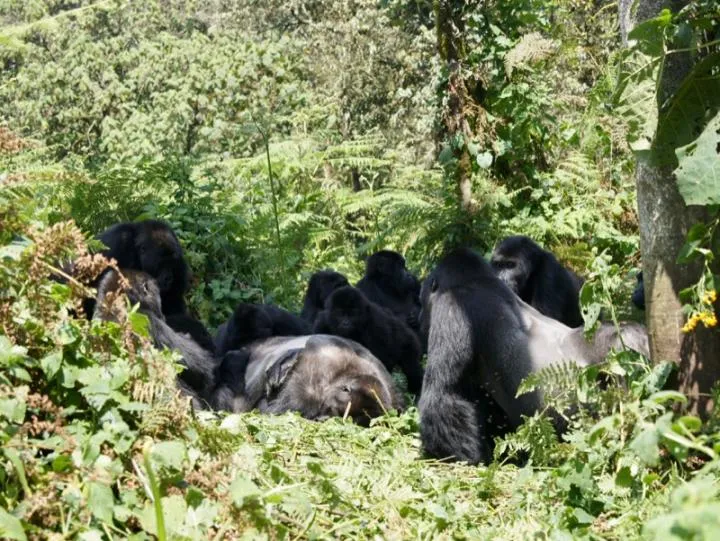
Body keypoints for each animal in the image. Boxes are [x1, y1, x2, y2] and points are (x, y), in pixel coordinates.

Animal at [416, 249, 648, 464]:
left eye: (422, 298)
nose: (419, 318)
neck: (476, 280)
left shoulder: (451, 308)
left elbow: (443, 395)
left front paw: (465, 458)